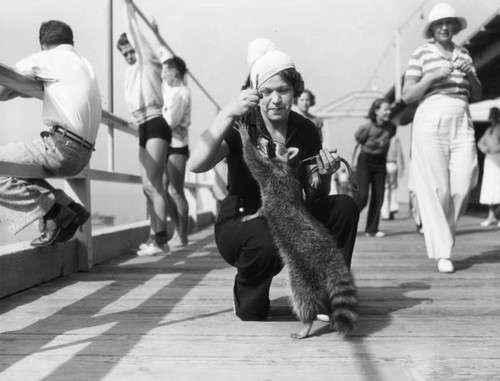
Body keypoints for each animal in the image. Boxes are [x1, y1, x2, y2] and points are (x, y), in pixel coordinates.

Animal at [236, 121, 358, 338]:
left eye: (271, 145)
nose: (259, 138)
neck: (284, 163)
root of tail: (331, 257)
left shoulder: (270, 174)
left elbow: (252, 161)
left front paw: (245, 138)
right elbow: (262, 208)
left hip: (303, 272)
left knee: (302, 296)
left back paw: (306, 323)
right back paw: (330, 317)